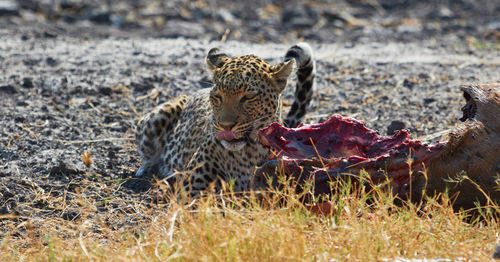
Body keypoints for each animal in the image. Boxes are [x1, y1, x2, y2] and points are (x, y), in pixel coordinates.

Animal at [135, 42, 314, 195]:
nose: (226, 126)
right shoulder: (193, 185)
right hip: (156, 117)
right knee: (148, 156)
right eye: (217, 96)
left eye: (249, 97)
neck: (247, 154)